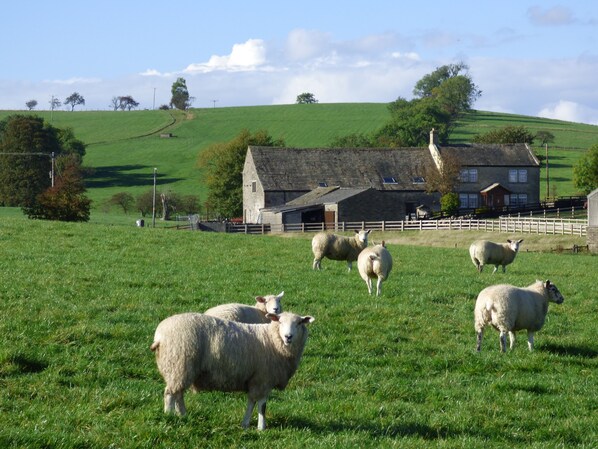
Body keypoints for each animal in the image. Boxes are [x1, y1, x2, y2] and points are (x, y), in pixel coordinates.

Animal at [150, 310, 316, 428]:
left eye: (299, 323)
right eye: (280, 321)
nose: (288, 336)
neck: (272, 340)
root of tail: (159, 335)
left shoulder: (257, 379)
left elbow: (251, 402)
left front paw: (245, 424)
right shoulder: (263, 378)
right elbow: (262, 405)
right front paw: (261, 427)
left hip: (181, 369)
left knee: (178, 394)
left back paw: (183, 415)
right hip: (179, 364)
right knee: (170, 394)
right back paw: (169, 416)